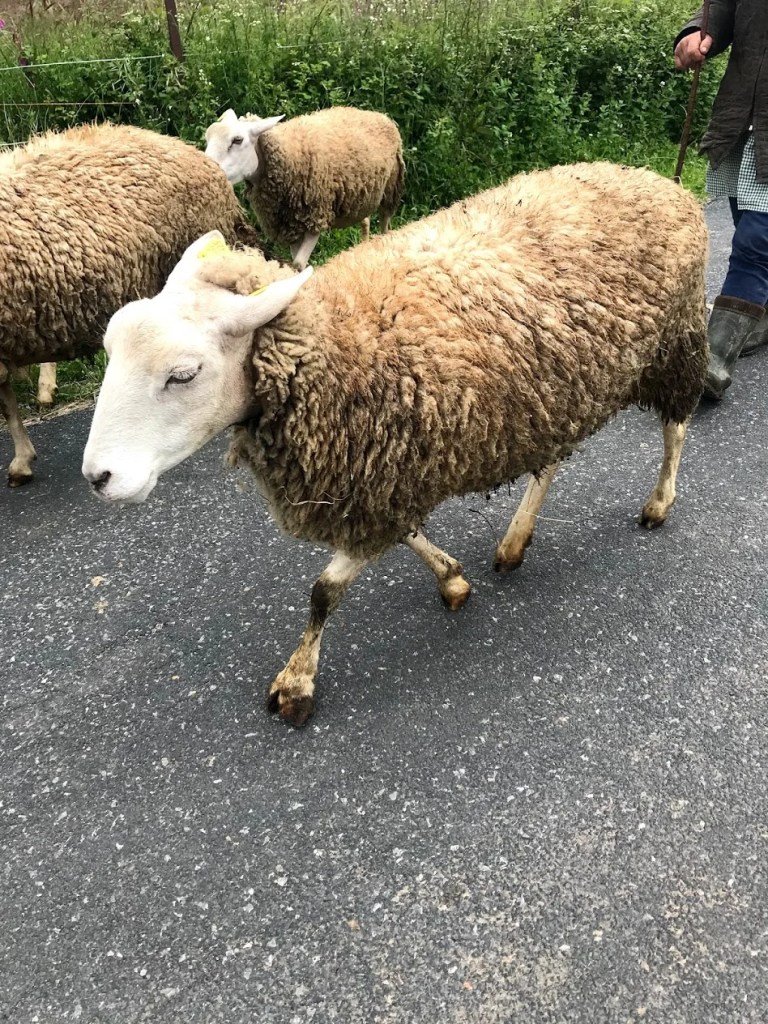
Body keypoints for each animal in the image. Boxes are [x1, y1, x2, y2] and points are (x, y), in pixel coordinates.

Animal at [82, 161, 708, 727]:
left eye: (183, 375)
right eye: (109, 350)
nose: (98, 477)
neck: (335, 341)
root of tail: (658, 180)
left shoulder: (380, 474)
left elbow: (324, 591)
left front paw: (297, 684)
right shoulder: (382, 476)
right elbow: (406, 537)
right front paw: (452, 578)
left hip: (675, 343)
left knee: (676, 430)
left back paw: (659, 503)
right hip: (552, 392)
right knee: (549, 463)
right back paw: (514, 541)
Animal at [204, 106, 405, 268]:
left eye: (237, 140)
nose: (207, 167)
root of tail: (376, 114)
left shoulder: (315, 218)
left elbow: (298, 264)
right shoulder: (291, 225)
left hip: (390, 189)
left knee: (385, 223)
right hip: (362, 193)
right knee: (365, 221)